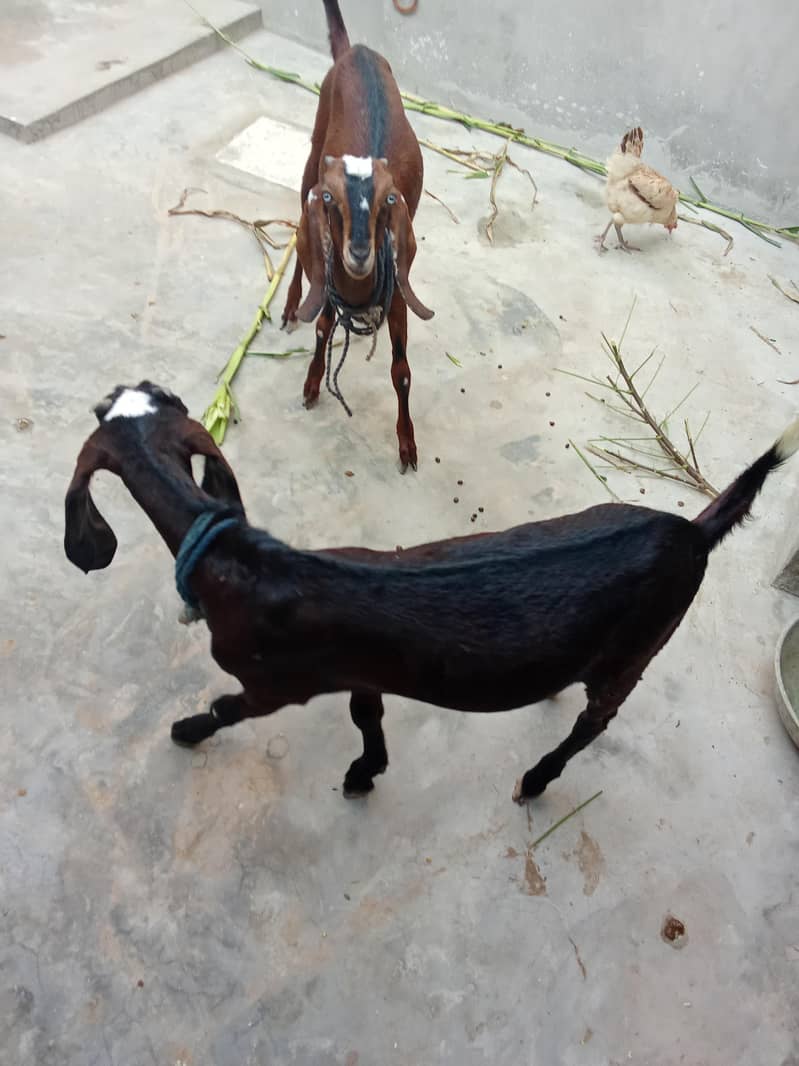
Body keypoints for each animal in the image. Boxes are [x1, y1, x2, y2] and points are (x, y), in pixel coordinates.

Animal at [65, 383, 799, 804]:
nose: (121, 385)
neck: (238, 558)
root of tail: (693, 532)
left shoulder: (274, 685)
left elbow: (226, 708)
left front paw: (186, 731)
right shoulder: (361, 670)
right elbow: (367, 716)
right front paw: (366, 772)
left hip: (640, 645)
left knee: (596, 721)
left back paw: (536, 780)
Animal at [281, 0, 433, 472]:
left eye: (389, 200)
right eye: (330, 198)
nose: (360, 252)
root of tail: (356, 50)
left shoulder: (399, 293)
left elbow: (402, 372)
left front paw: (407, 445)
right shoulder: (329, 279)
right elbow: (322, 327)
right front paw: (312, 384)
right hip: (311, 156)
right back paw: (290, 305)